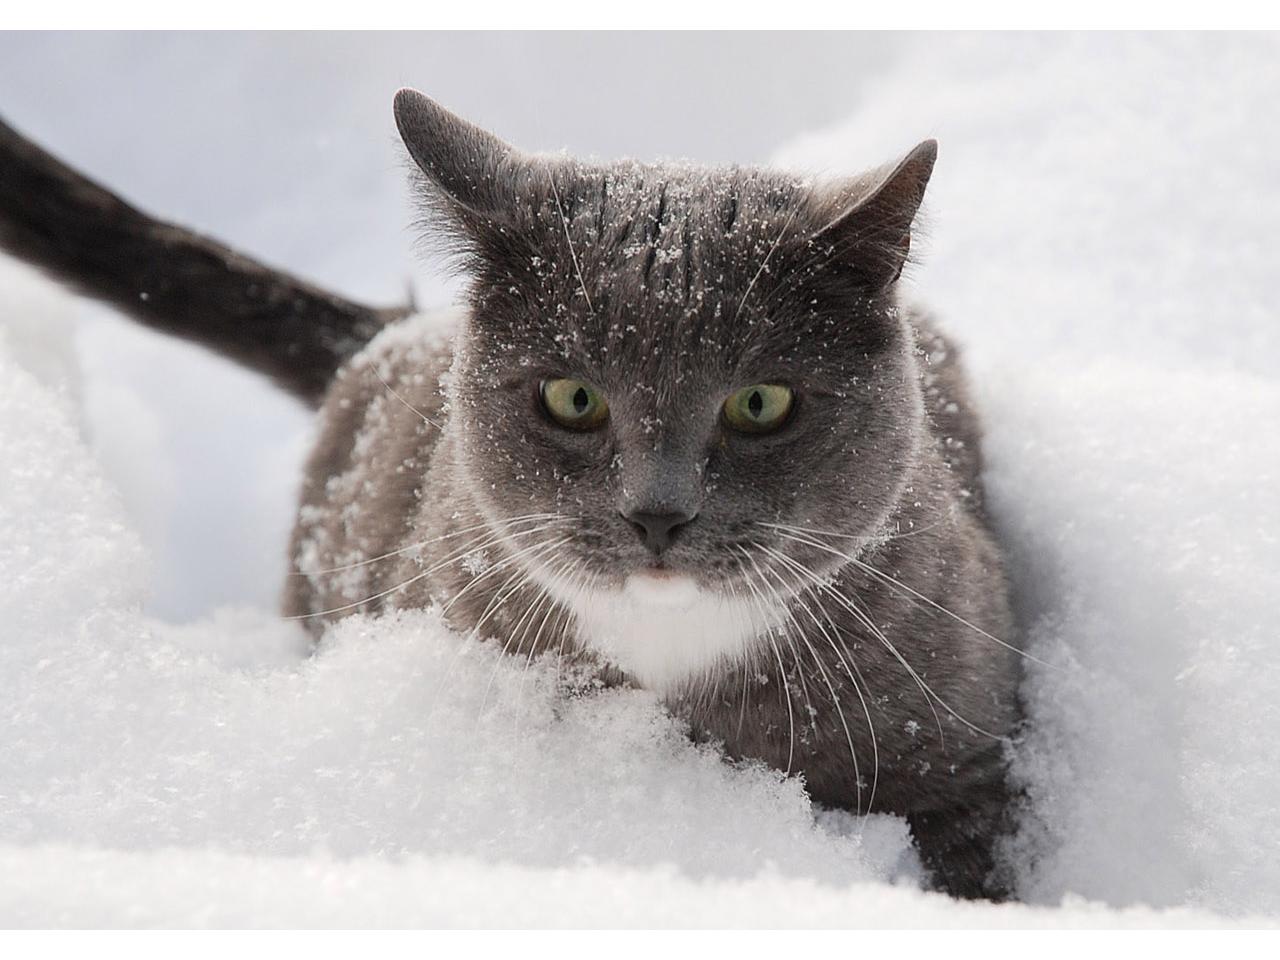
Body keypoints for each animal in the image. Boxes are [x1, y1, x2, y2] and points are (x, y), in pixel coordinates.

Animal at [0, 90, 1018, 901]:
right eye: (572, 398)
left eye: (761, 402)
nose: (657, 512)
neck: (669, 647)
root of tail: (397, 332)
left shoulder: (959, 738)